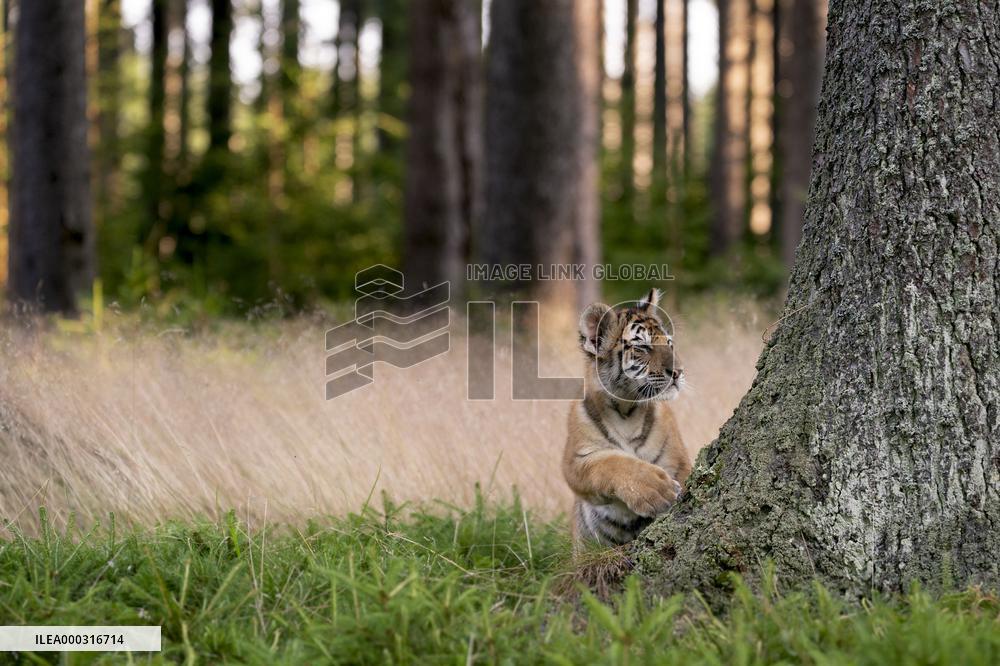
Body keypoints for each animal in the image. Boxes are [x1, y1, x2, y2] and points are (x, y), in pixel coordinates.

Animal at [562, 288, 692, 550]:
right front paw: (658, 490)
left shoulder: (679, 461)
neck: (626, 409)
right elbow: (611, 462)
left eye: (669, 344)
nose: (678, 372)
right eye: (643, 347)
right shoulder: (573, 461)